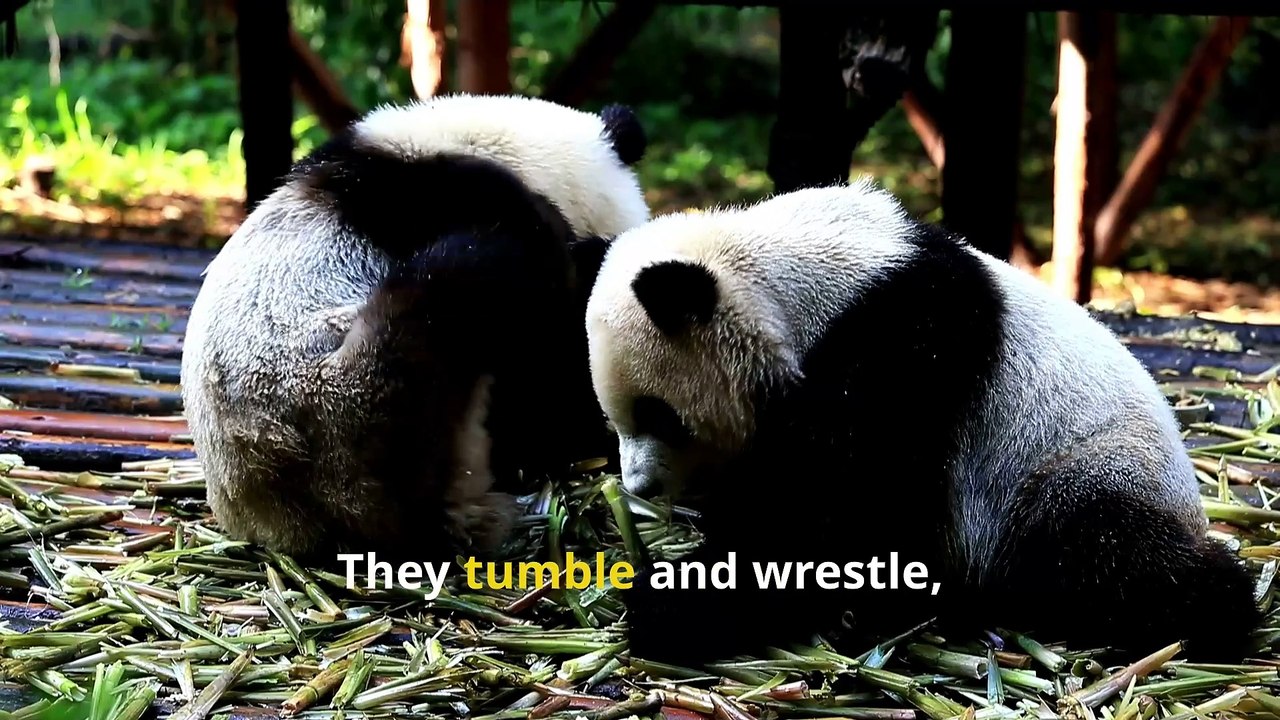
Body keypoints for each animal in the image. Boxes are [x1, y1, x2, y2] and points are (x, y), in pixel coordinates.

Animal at [585, 179, 1261, 665]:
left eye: (659, 415)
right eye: (614, 420)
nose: (640, 486)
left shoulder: (908, 345)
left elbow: (835, 507)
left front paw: (672, 609)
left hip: (1078, 471)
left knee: (1108, 553)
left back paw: (1214, 610)